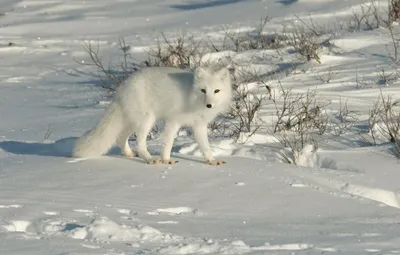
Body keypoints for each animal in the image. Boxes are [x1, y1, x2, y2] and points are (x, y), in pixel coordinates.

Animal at [73, 65, 233, 165]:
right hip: (147, 119)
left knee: (120, 138)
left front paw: (211, 160)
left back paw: (130, 154)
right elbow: (168, 143)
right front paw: (166, 160)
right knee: (139, 142)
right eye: (203, 90)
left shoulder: (199, 125)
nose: (209, 105)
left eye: (216, 91)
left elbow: (205, 146)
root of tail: (121, 88)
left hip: (134, 121)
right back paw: (150, 159)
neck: (193, 98)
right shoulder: (173, 121)